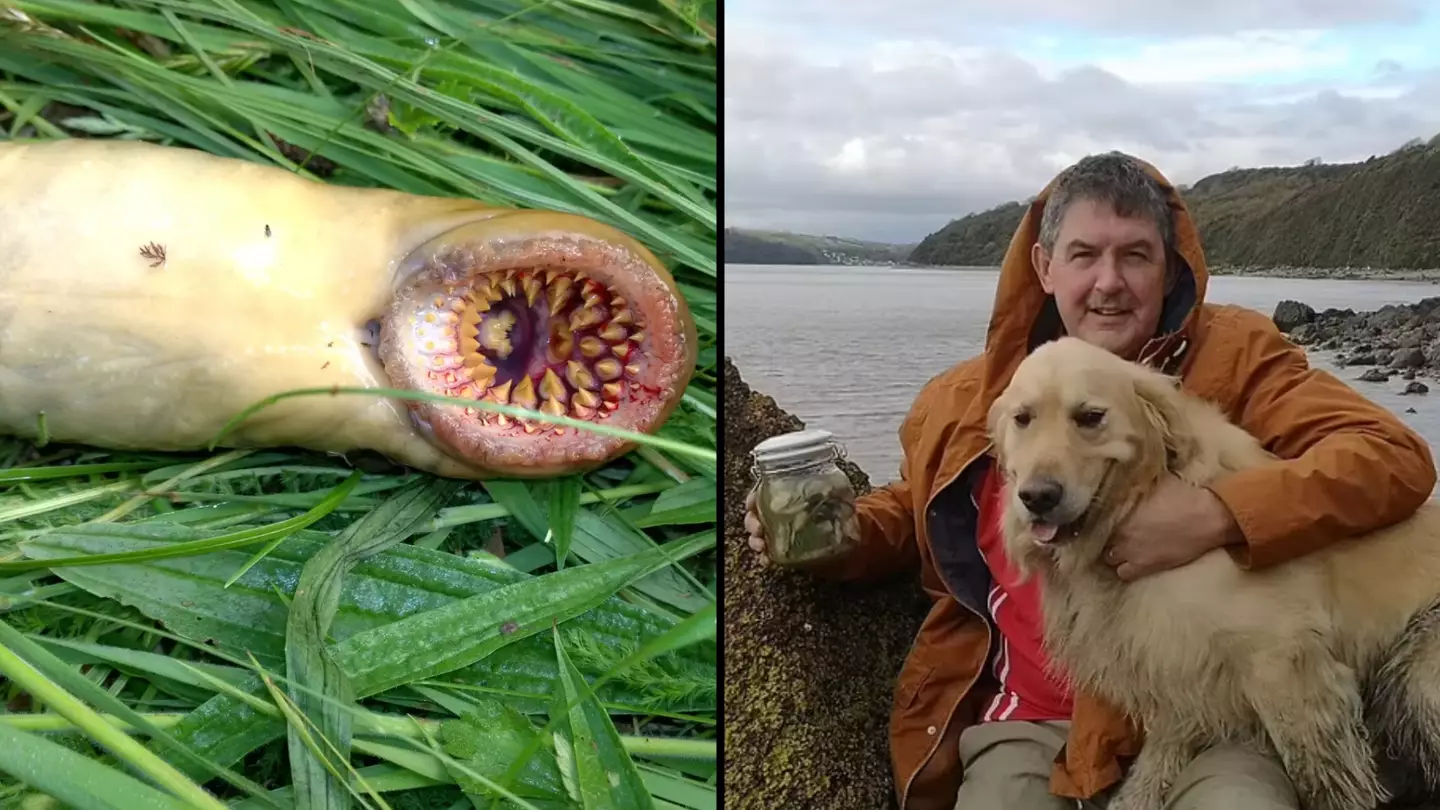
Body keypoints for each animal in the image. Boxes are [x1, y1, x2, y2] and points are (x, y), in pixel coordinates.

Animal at [990, 334, 1440, 807]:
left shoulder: (1285, 663)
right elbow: (1161, 753)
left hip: (1420, 670)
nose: (1038, 497)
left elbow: (1320, 770)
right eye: (1023, 418)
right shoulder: (1172, 663)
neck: (1133, 503)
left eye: (1090, 417)